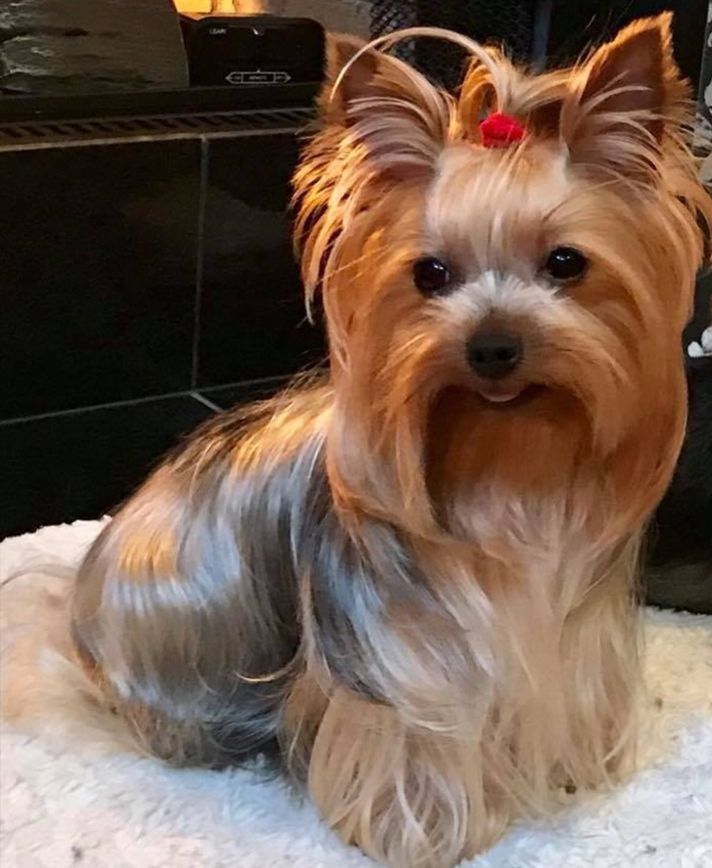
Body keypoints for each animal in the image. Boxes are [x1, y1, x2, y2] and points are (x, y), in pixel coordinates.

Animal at [69, 15, 708, 868]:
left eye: (566, 262)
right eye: (430, 274)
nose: (493, 347)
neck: (507, 470)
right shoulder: (399, 659)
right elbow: (411, 737)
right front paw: (424, 832)